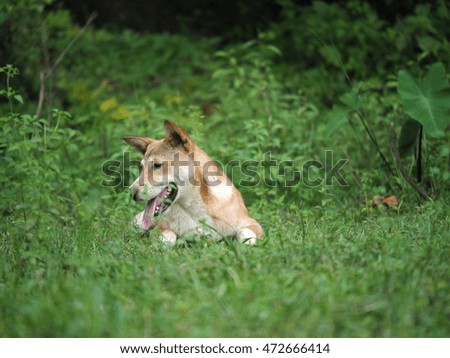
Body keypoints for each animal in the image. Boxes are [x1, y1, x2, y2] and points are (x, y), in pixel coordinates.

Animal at [123, 121, 264, 246]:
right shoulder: (162, 227)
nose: (131, 193)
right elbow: (168, 235)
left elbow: (245, 234)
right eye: (141, 167)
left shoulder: (252, 223)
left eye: (157, 165)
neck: (195, 209)